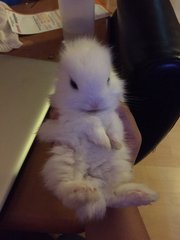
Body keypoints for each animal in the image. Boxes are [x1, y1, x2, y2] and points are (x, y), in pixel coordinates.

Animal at [38, 38, 158, 221]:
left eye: (108, 79)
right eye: (73, 84)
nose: (95, 103)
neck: (96, 113)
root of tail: (98, 191)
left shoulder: (115, 117)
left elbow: (114, 127)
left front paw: (115, 144)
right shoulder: (72, 121)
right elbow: (91, 123)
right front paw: (104, 142)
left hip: (117, 170)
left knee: (113, 197)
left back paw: (142, 195)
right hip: (62, 163)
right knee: (67, 193)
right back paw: (83, 190)